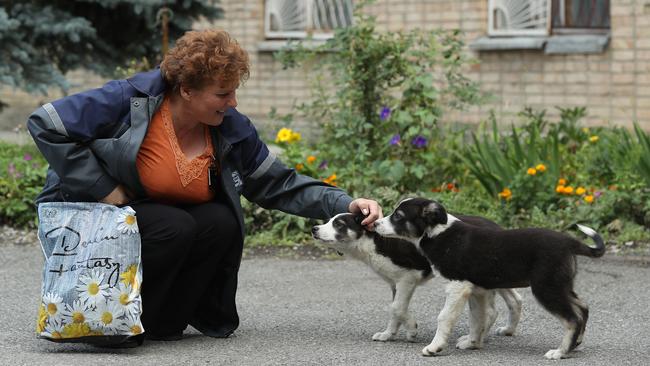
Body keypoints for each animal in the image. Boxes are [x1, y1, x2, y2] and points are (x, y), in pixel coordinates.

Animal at [310, 210, 520, 348]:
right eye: (328, 221)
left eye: (339, 224)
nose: (314, 228)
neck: (374, 241)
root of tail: (496, 227)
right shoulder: (395, 283)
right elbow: (395, 310)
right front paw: (388, 334)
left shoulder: (408, 277)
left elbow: (396, 307)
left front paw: (412, 329)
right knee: (515, 300)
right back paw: (504, 330)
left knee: (492, 310)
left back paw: (477, 337)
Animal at [372, 199, 604, 358]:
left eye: (398, 216)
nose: (374, 224)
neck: (438, 234)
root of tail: (569, 241)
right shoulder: (476, 291)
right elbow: (477, 319)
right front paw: (472, 343)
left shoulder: (457, 286)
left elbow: (444, 317)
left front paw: (434, 347)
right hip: (560, 285)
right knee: (583, 307)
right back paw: (576, 344)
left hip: (546, 288)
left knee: (572, 318)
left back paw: (560, 352)